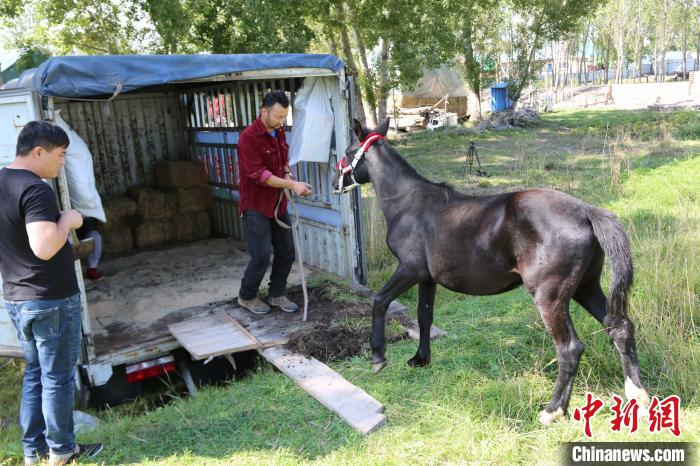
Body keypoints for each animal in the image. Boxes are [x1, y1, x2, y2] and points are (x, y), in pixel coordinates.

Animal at [332, 118, 650, 425]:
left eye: (348, 151)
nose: (335, 184)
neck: (409, 203)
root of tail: (585, 211)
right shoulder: (426, 278)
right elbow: (424, 316)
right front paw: (420, 359)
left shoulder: (408, 270)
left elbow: (380, 301)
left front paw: (377, 356)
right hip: (586, 287)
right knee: (620, 329)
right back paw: (638, 396)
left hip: (550, 298)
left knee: (570, 349)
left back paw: (552, 411)